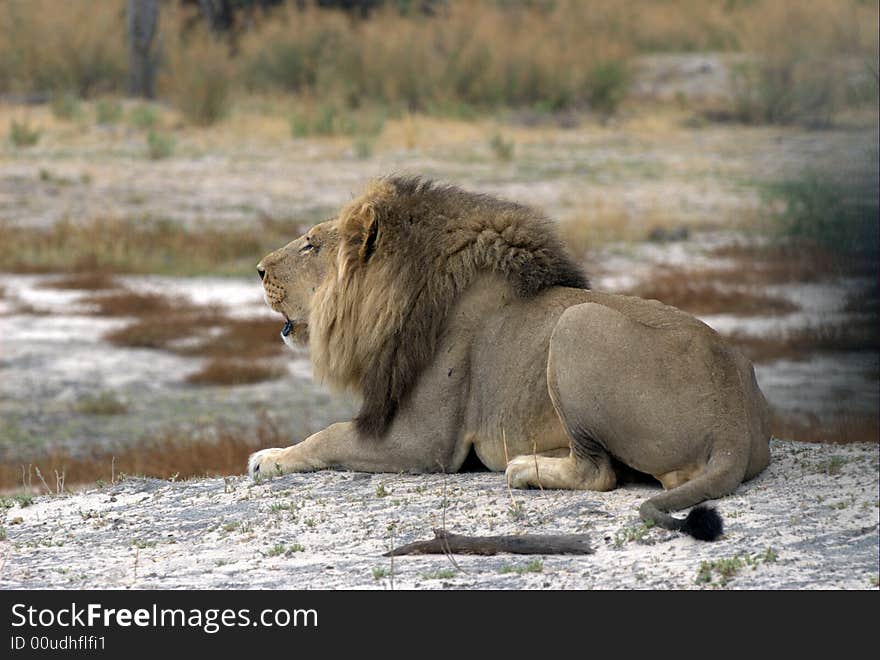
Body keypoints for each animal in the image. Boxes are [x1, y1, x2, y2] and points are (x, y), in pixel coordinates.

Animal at [248, 177, 768, 540]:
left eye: (311, 244)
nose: (257, 270)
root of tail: (735, 425)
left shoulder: (425, 442)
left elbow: (329, 434)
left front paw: (268, 459)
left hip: (576, 324)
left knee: (599, 473)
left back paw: (523, 468)